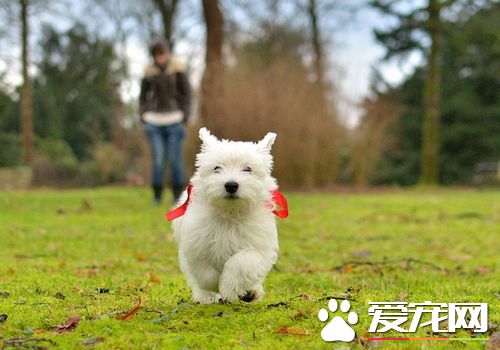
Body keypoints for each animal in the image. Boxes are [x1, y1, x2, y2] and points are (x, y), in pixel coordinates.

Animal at [168, 128, 288, 304]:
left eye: (248, 169)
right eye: (217, 168)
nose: (231, 185)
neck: (229, 213)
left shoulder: (257, 245)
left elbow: (241, 263)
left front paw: (229, 288)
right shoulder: (196, 244)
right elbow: (206, 273)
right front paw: (216, 287)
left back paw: (251, 292)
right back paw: (204, 297)